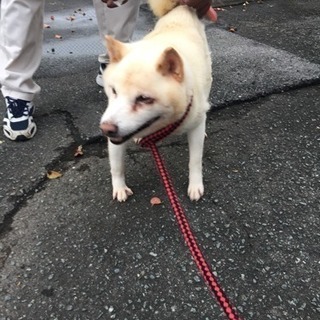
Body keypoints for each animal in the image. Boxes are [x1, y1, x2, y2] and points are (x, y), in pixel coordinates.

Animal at [99, 0, 211, 202]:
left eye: (144, 99)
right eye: (114, 91)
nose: (106, 129)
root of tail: (180, 9)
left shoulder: (195, 125)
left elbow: (195, 160)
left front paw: (195, 185)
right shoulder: (115, 138)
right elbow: (117, 166)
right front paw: (119, 187)